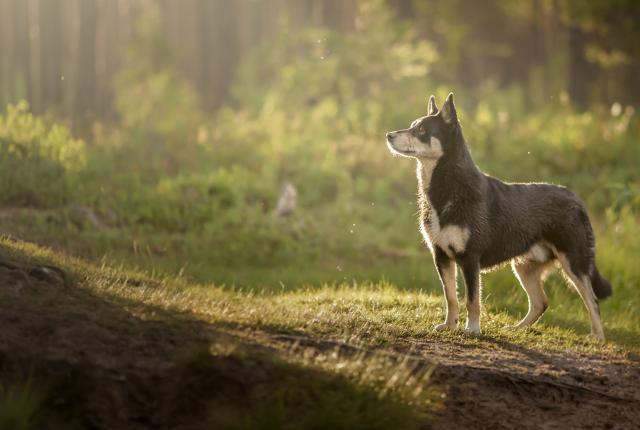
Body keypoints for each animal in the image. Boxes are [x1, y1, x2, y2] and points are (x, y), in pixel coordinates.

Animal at [384, 93, 608, 340]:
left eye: (422, 130)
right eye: (413, 125)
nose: (389, 135)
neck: (447, 188)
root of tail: (577, 200)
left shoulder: (470, 257)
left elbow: (472, 300)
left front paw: (472, 329)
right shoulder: (441, 255)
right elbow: (451, 298)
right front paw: (449, 326)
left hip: (574, 263)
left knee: (592, 300)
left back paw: (597, 337)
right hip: (525, 266)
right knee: (540, 302)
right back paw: (517, 329)